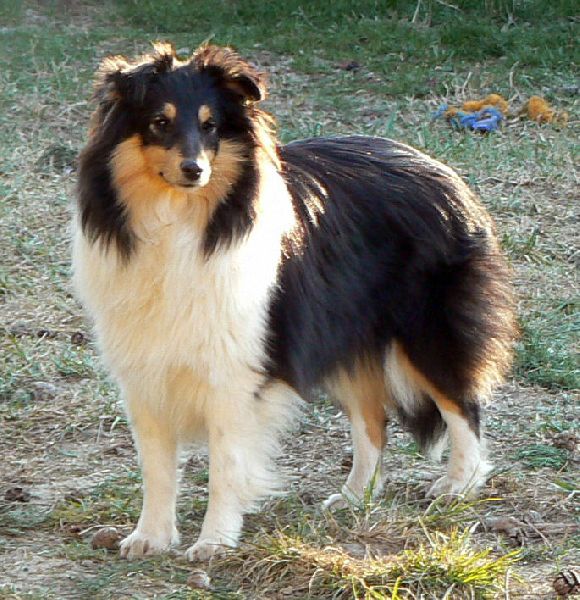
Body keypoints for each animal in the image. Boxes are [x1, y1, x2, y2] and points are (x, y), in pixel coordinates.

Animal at [73, 42, 515, 561]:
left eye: (211, 125)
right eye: (159, 122)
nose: (194, 170)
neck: (181, 223)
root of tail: (441, 170)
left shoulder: (234, 373)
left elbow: (226, 464)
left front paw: (214, 542)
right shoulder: (145, 371)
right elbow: (156, 466)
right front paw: (151, 537)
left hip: (427, 331)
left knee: (463, 406)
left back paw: (458, 485)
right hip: (346, 336)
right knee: (373, 421)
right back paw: (354, 496)